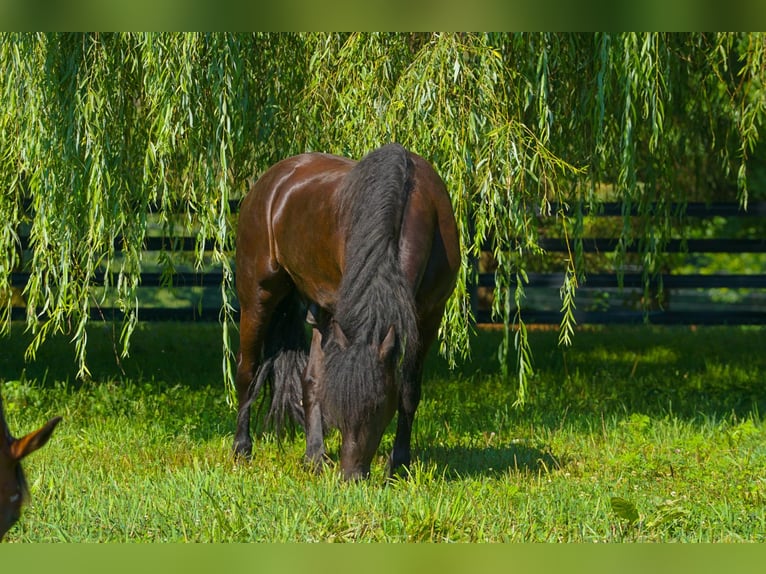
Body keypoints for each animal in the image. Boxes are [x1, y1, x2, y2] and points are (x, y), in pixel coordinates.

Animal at [233, 143, 460, 480]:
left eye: (380, 405)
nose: (352, 475)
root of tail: (270, 182)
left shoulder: (429, 316)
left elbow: (409, 390)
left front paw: (399, 465)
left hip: (320, 310)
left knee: (310, 378)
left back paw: (314, 456)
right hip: (257, 298)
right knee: (247, 371)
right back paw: (242, 448)